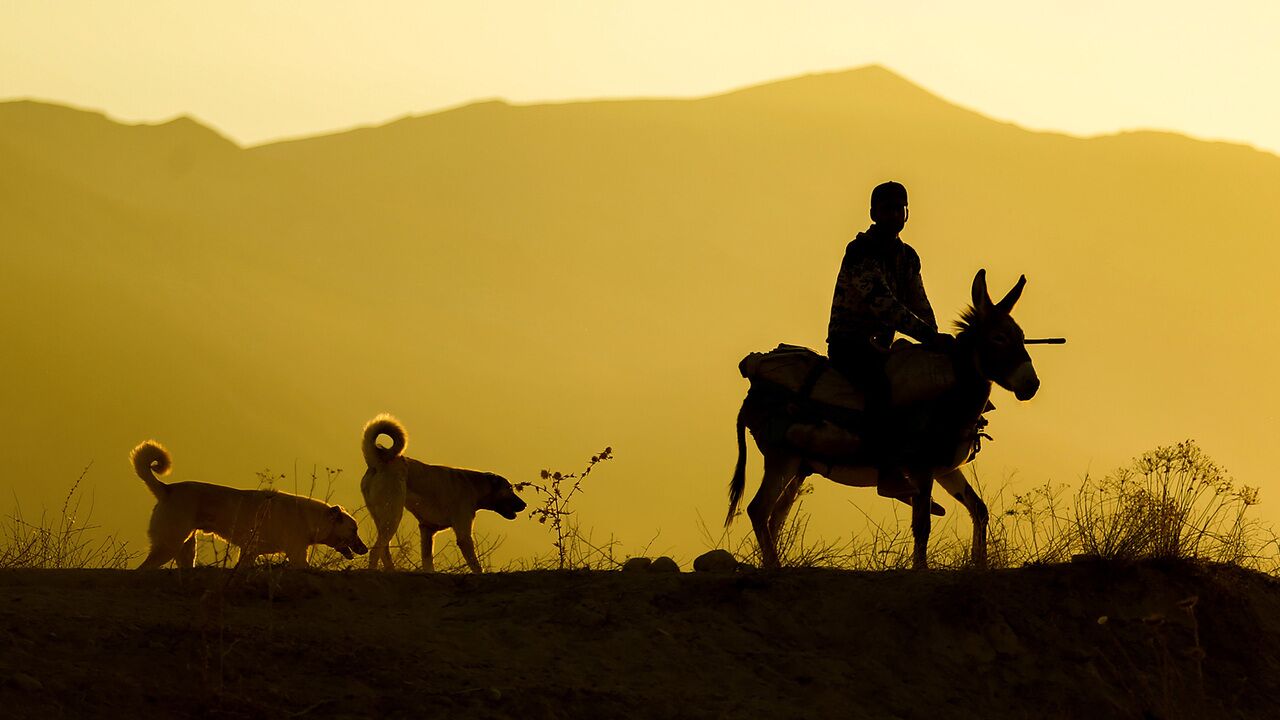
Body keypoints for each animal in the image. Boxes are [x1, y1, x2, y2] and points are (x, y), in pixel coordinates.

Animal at [130, 438, 368, 566]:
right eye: (354, 529)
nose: (365, 549)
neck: (310, 518)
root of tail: (167, 489)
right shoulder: (297, 555)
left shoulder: (249, 553)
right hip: (169, 545)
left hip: (186, 548)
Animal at [360, 415, 524, 571]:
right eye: (509, 489)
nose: (525, 504)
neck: (475, 485)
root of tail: (379, 462)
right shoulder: (463, 535)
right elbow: (476, 565)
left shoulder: (427, 531)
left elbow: (428, 564)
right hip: (393, 516)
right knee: (375, 551)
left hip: (383, 519)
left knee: (384, 550)